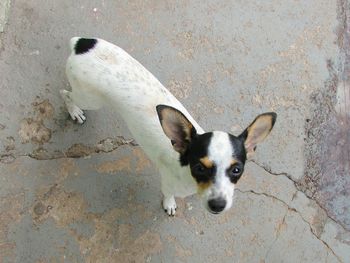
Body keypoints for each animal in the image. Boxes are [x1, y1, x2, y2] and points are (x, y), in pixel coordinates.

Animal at [60, 37, 276, 217]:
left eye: (236, 170)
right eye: (199, 167)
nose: (218, 205)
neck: (187, 172)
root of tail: (82, 43)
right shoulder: (169, 183)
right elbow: (168, 195)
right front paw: (169, 204)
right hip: (89, 99)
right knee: (65, 94)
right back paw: (74, 111)